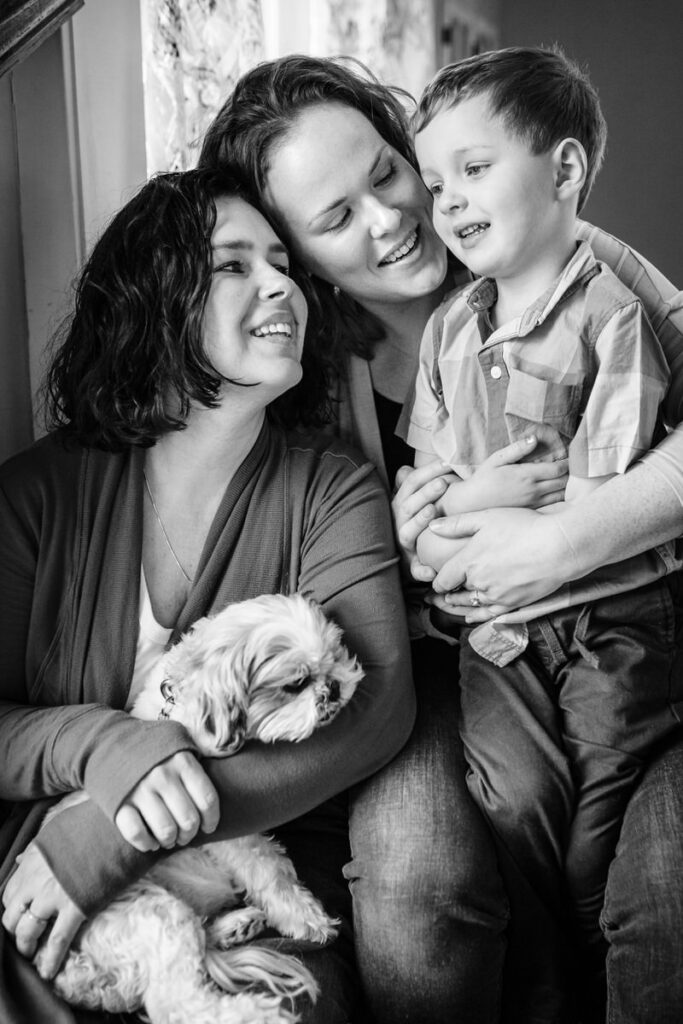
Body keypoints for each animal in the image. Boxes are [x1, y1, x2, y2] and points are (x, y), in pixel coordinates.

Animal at [41, 593, 362, 1024]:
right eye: (295, 685)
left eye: (335, 656)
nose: (333, 686)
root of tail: (78, 977)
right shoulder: (225, 826)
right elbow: (271, 871)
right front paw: (305, 916)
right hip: (154, 915)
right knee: (178, 1003)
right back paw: (259, 1013)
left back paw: (235, 926)